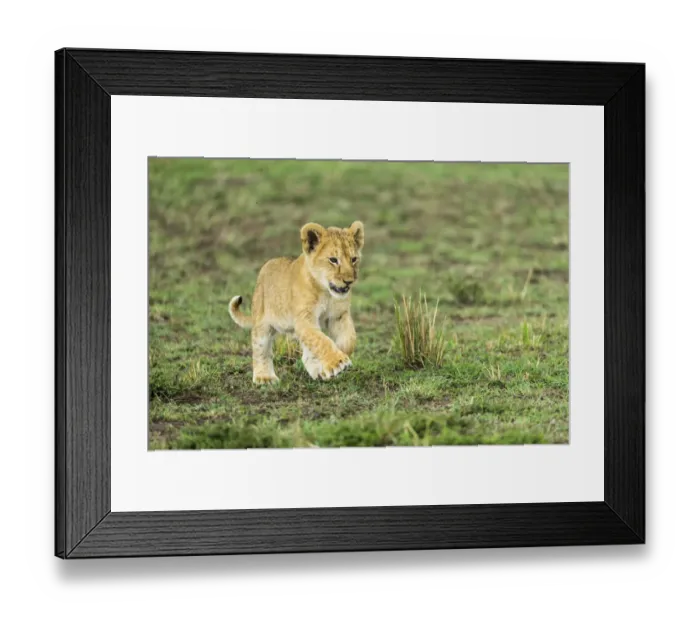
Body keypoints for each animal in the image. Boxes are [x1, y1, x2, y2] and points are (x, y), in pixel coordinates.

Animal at [229, 221, 364, 385]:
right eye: (333, 260)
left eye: (353, 259)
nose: (349, 281)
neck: (327, 293)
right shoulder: (304, 319)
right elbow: (321, 340)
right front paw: (337, 362)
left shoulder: (338, 315)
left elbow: (348, 339)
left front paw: (334, 362)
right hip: (261, 321)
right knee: (260, 349)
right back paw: (264, 377)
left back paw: (319, 371)